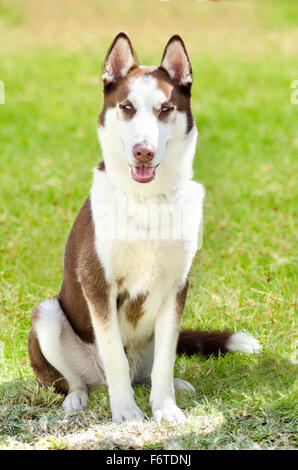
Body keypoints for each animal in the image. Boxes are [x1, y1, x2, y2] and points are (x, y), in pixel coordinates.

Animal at [28, 32, 260, 422]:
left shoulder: (175, 287)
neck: (148, 200)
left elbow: (165, 360)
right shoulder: (97, 285)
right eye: (126, 107)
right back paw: (77, 397)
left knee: (149, 370)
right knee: (78, 379)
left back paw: (174, 386)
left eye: (165, 109)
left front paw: (166, 407)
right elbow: (114, 359)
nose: (143, 152)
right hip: (48, 316)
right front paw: (125, 412)